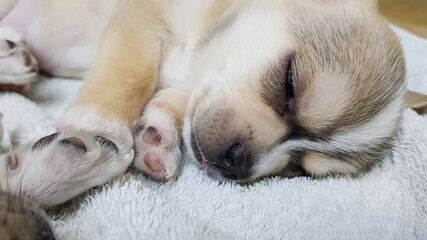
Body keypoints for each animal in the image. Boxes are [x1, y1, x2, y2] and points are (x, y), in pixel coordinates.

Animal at [0, 0, 406, 205]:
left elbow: (178, 103)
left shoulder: (193, 85)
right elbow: (133, 70)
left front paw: (159, 137)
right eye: (289, 82)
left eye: (298, 169)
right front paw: (99, 122)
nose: (237, 160)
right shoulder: (142, 22)